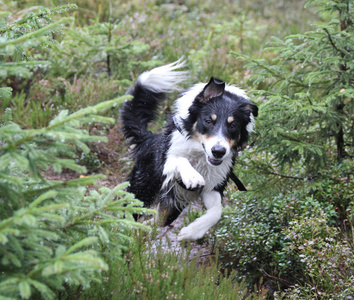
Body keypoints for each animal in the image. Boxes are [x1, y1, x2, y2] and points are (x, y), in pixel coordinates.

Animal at [121, 61, 258, 241]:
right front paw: (192, 177)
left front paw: (192, 232)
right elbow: (181, 159)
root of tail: (149, 139)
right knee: (126, 213)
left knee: (155, 221)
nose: (218, 151)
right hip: (142, 190)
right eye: (208, 121)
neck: (200, 156)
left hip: (171, 207)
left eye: (233, 125)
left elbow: (217, 212)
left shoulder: (213, 186)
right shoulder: (167, 162)